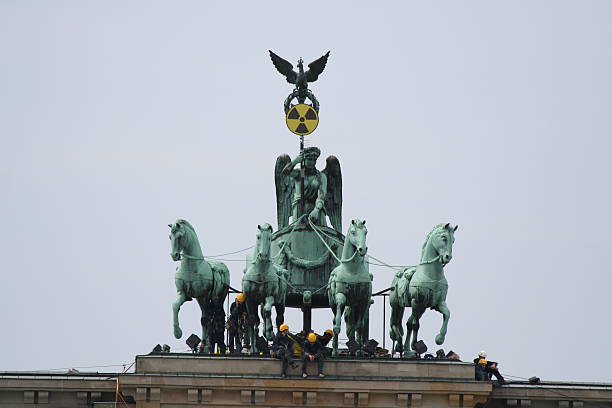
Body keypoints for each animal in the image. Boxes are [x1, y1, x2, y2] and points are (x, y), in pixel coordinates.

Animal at [167, 218, 230, 352]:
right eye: (170, 236)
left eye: (179, 237)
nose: (174, 255)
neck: (192, 267)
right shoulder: (183, 294)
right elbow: (175, 306)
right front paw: (177, 332)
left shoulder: (204, 295)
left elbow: (205, 320)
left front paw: (204, 346)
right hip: (200, 300)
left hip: (219, 297)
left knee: (216, 315)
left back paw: (214, 345)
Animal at [328, 218, 370, 356]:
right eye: (353, 232)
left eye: (365, 232)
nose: (362, 249)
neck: (352, 270)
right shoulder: (340, 296)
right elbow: (337, 321)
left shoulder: (363, 300)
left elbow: (359, 326)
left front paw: (360, 352)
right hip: (333, 304)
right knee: (335, 319)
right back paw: (335, 350)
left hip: (354, 305)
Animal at [390, 223, 456, 356]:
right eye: (444, 238)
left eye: (453, 240)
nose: (447, 257)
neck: (432, 275)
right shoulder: (417, 301)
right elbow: (415, 325)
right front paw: (415, 345)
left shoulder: (437, 303)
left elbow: (447, 314)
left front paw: (439, 339)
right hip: (397, 305)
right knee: (396, 323)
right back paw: (400, 345)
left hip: (421, 308)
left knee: (407, 323)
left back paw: (407, 349)